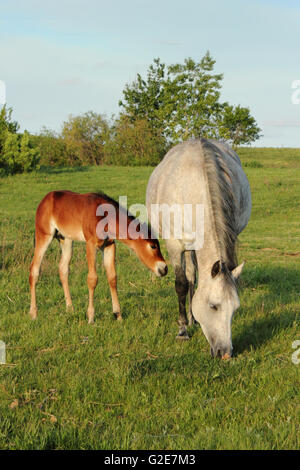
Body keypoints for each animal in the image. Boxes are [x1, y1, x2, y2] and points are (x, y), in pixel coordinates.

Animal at [29, 191, 168, 324]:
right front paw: (91, 317)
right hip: (44, 235)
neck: (105, 217)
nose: (164, 268)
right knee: (34, 269)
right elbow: (92, 279)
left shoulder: (109, 245)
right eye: (153, 246)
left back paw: (70, 309)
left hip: (66, 239)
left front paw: (118, 315)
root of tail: (45, 200)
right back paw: (33, 313)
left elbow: (112, 277)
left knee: (63, 269)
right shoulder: (91, 244)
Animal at [145, 138, 251, 358]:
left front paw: (191, 319)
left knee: (193, 275)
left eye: (235, 309)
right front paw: (182, 330)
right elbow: (181, 284)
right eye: (213, 306)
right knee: (189, 277)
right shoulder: (175, 246)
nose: (225, 354)